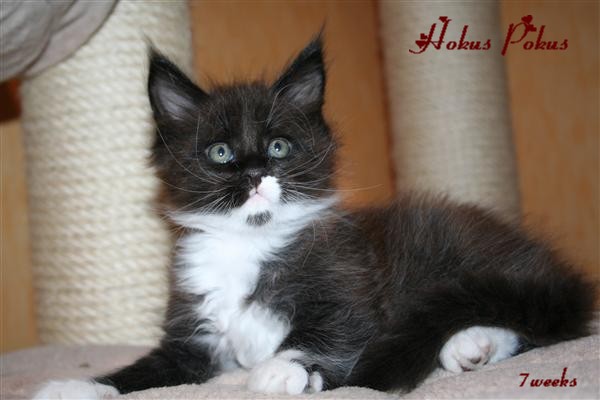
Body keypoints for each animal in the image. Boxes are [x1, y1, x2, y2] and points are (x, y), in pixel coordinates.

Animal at [34, 36, 596, 399]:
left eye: (279, 147)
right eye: (220, 153)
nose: (256, 172)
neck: (248, 244)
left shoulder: (350, 288)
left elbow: (328, 332)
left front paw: (281, 369)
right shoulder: (193, 333)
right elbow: (144, 369)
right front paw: (74, 385)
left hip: (453, 254)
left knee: (532, 322)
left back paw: (470, 342)